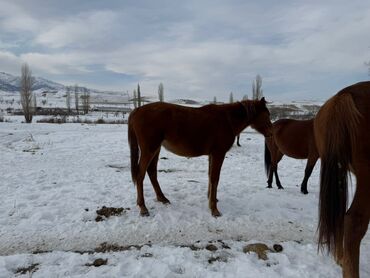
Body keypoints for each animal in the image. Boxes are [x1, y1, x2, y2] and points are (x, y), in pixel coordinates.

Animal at [128, 97, 272, 217]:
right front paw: (214, 209)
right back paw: (143, 207)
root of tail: (137, 110)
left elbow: (210, 177)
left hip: (156, 149)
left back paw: (162, 198)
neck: (227, 120)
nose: (271, 133)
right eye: (267, 115)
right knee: (140, 175)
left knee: (151, 172)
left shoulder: (212, 155)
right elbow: (215, 178)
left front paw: (211, 199)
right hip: (149, 150)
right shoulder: (218, 154)